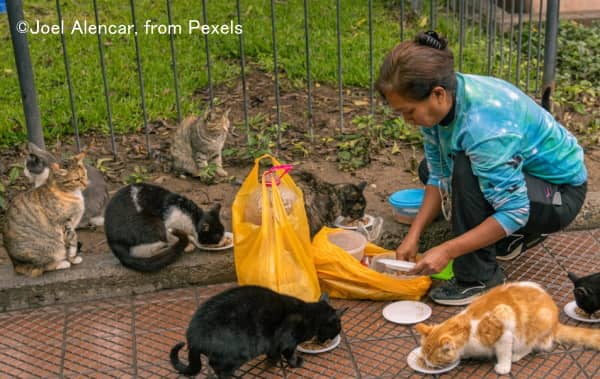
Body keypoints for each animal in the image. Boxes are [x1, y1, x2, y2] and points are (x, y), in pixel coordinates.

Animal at [169, 286, 346, 378]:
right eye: (337, 329)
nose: (326, 340)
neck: (310, 314)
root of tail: (193, 339)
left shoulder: (274, 343)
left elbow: (273, 353)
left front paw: (272, 362)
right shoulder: (288, 342)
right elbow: (290, 355)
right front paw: (296, 363)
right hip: (237, 353)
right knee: (218, 367)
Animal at [414, 280, 600, 376]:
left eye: (434, 360)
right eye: (424, 356)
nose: (427, 364)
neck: (468, 330)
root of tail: (555, 321)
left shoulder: (504, 322)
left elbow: (503, 353)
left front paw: (503, 367)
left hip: (533, 329)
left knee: (532, 345)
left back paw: (517, 354)